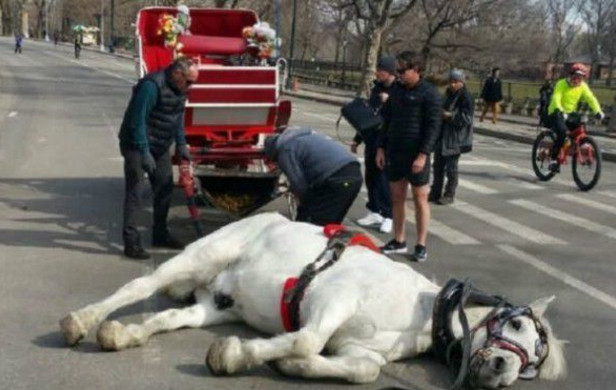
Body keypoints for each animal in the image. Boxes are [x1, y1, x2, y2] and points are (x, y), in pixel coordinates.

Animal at [60, 212, 564, 388]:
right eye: (516, 324)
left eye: (534, 365)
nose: (502, 370)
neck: (416, 310)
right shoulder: (333, 298)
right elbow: (305, 339)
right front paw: (238, 354)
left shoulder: (358, 349)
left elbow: (363, 370)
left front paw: (287, 365)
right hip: (201, 257)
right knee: (140, 288)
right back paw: (82, 320)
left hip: (214, 305)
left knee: (166, 317)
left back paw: (123, 333)